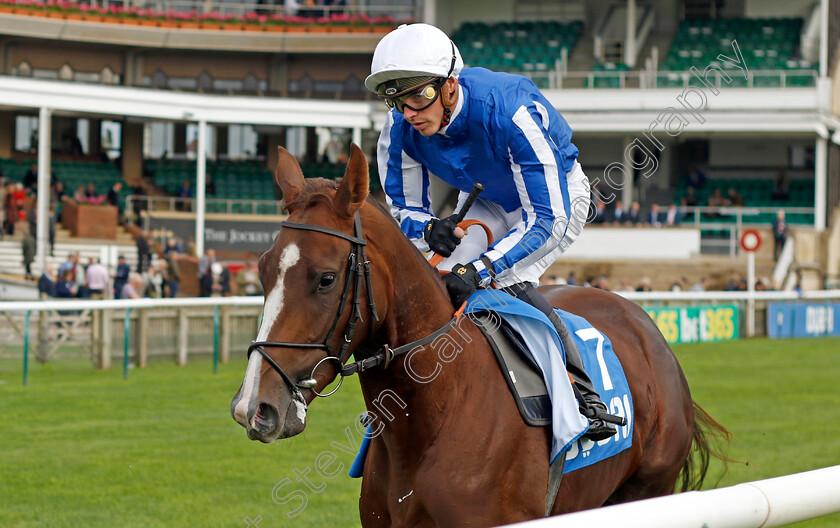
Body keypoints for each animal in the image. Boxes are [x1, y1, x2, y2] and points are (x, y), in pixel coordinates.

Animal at [231, 145, 728, 528]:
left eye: (326, 279)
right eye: (262, 270)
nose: (253, 407)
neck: (436, 412)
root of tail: (645, 324)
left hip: (647, 490)